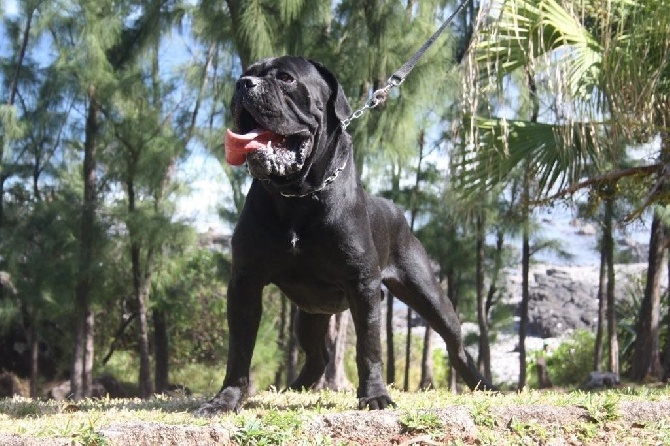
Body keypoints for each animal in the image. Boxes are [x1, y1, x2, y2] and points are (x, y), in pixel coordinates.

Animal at [197, 55, 496, 414]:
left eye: (286, 78)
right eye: (246, 73)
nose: (243, 84)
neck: (298, 195)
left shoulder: (362, 285)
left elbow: (369, 348)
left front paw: (375, 396)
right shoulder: (245, 282)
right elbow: (240, 349)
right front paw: (225, 400)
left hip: (428, 294)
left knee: (455, 343)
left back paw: (482, 384)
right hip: (308, 316)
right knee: (318, 355)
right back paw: (294, 387)